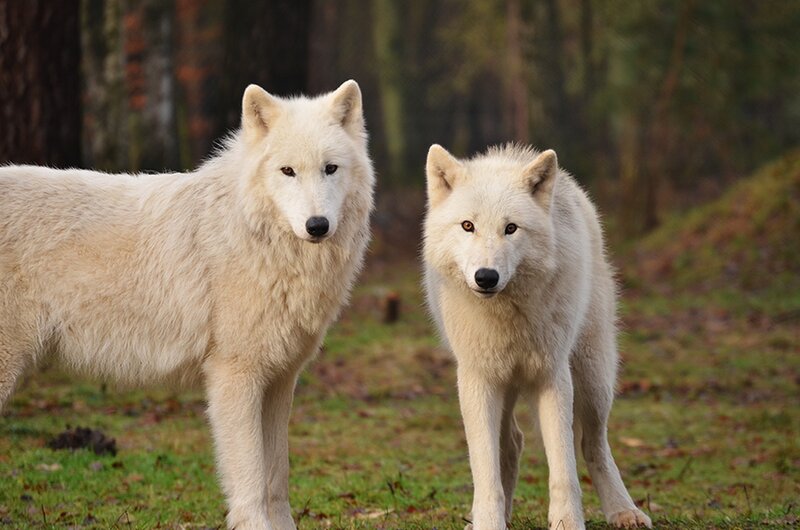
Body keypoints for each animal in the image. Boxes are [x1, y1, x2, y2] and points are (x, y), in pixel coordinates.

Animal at [0, 80, 374, 530]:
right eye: (288, 171)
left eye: (330, 169)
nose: (317, 226)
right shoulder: (235, 377)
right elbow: (250, 482)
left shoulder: (280, 380)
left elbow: (277, 480)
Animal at [422, 144, 651, 530]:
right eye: (468, 226)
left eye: (511, 229)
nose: (486, 277)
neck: (507, 318)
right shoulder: (478, 380)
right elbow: (485, 472)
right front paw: (488, 521)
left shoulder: (551, 376)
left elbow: (563, 469)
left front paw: (567, 522)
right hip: (504, 386)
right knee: (512, 443)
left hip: (593, 378)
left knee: (593, 444)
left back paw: (624, 510)